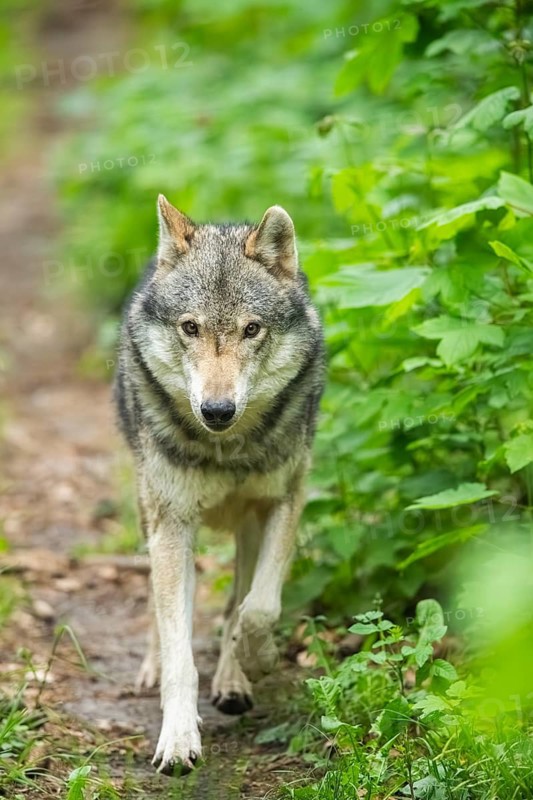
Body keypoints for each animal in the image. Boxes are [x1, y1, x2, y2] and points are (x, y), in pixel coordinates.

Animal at [115, 195, 324, 775]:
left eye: (252, 330)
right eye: (190, 328)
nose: (216, 410)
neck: (227, 450)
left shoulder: (284, 502)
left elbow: (257, 610)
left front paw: (263, 658)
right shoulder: (172, 524)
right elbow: (180, 652)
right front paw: (178, 738)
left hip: (247, 527)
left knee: (236, 602)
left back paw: (233, 680)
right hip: (150, 513)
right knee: (158, 609)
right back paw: (150, 667)